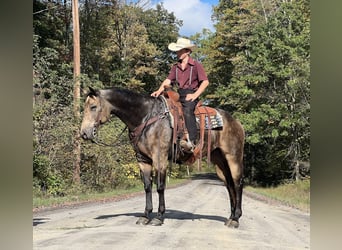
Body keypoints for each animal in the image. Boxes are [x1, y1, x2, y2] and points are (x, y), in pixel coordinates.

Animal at [79, 87, 246, 228]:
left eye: (93, 107)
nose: (84, 133)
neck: (145, 118)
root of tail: (236, 122)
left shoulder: (160, 158)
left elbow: (160, 187)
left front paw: (159, 217)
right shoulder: (143, 160)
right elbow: (147, 187)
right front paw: (145, 216)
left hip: (233, 157)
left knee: (238, 183)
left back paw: (236, 219)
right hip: (220, 162)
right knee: (229, 185)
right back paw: (231, 217)